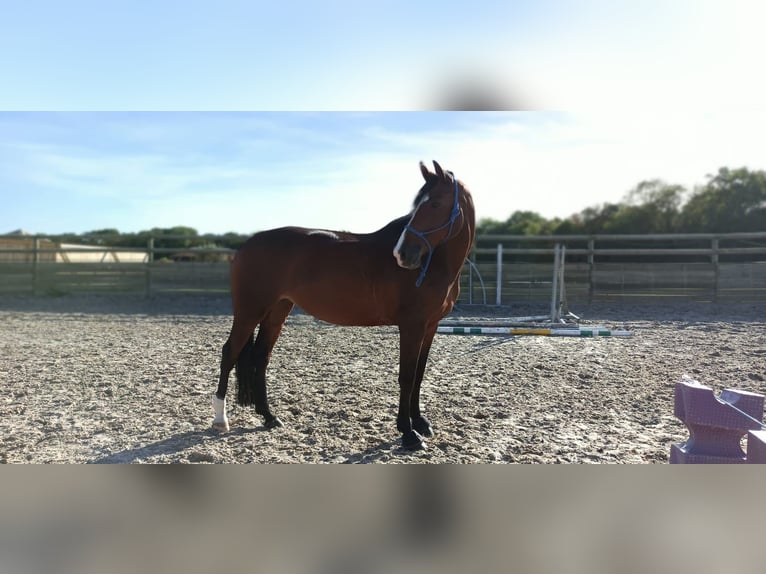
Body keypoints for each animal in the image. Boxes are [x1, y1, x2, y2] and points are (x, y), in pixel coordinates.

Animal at [213, 160, 476, 452]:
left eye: (435, 203)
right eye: (418, 204)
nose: (402, 254)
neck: (434, 265)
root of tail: (245, 247)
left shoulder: (430, 327)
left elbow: (418, 374)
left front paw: (420, 423)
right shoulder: (412, 327)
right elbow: (406, 377)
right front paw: (408, 434)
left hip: (276, 311)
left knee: (261, 357)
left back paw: (269, 417)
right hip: (249, 312)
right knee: (229, 353)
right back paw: (220, 420)